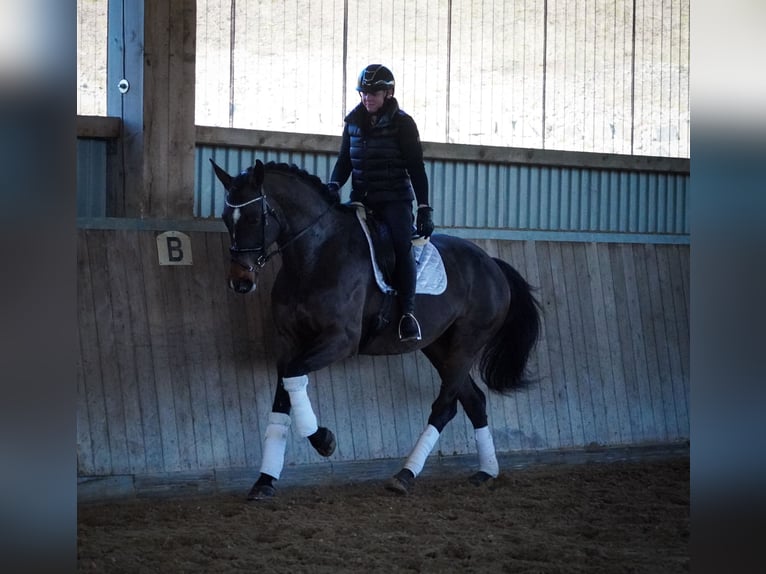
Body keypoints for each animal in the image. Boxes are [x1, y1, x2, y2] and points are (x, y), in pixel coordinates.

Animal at [213, 158, 544, 500]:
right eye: (225, 218)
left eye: (255, 217)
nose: (240, 282)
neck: (315, 255)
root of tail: (491, 263)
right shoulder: (288, 342)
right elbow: (283, 399)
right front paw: (264, 481)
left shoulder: (340, 340)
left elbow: (293, 377)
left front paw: (323, 440)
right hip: (440, 347)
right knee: (473, 401)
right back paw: (486, 471)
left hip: (467, 343)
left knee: (444, 407)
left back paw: (405, 475)